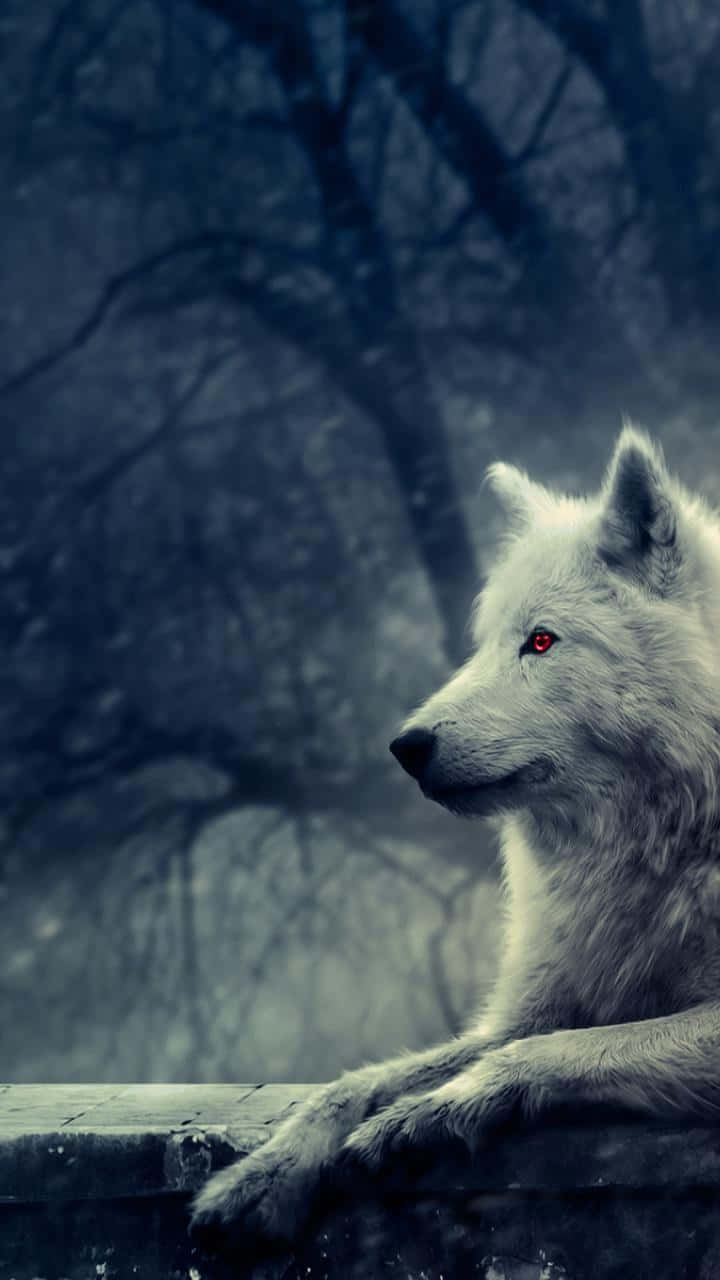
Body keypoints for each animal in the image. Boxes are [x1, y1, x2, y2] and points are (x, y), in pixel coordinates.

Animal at [192, 427, 720, 1243]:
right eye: (486, 644)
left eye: (541, 642)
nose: (406, 746)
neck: (656, 843)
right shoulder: (535, 1004)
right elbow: (354, 1082)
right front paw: (263, 1175)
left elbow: (550, 1051)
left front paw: (434, 1111)